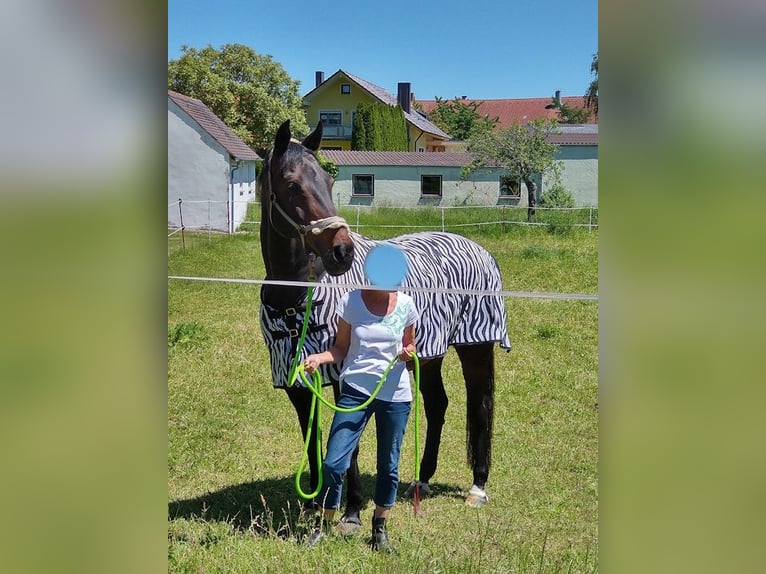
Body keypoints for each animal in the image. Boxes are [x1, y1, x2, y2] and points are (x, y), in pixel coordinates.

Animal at [260, 120, 516, 532]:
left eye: (328, 182)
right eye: (292, 183)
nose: (342, 251)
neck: (299, 298)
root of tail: (477, 249)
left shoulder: (346, 375)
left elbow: (347, 442)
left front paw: (350, 510)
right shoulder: (296, 381)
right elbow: (311, 435)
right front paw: (315, 499)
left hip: (475, 348)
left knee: (479, 405)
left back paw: (477, 486)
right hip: (427, 355)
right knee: (438, 404)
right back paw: (422, 479)